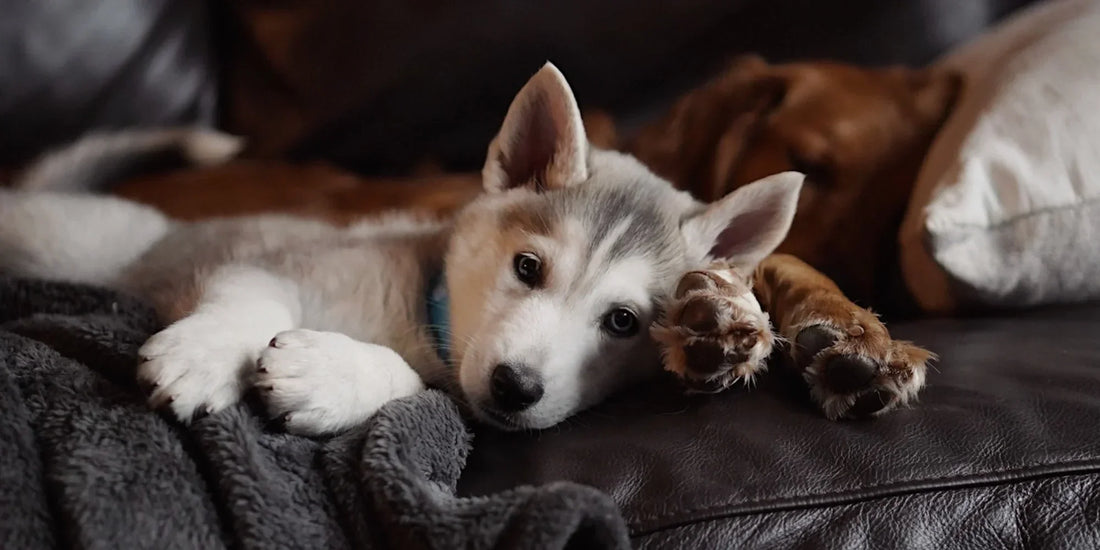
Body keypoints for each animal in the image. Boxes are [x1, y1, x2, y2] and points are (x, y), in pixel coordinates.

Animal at [4, 65, 805, 433]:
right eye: (528, 267)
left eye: (623, 322)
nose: (516, 388)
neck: (423, 314)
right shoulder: (276, 259)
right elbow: (250, 297)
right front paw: (205, 355)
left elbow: (416, 385)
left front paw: (330, 374)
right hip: (65, 240)